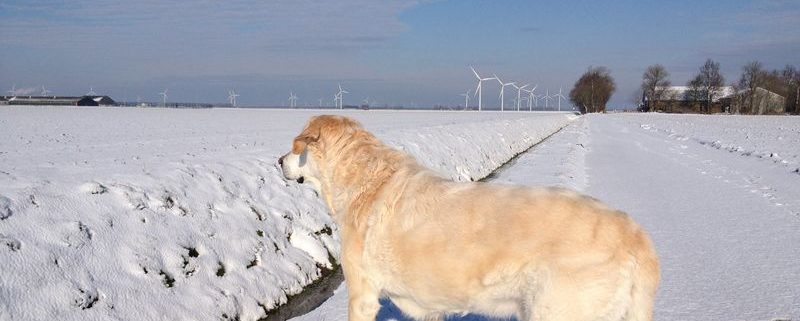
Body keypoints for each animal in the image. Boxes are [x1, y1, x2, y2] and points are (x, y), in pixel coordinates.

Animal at [278, 115, 660, 320]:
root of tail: (636, 234)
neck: (365, 179)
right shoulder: (427, 306)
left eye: (296, 150)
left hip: (559, 310)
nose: (278, 161)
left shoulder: (363, 293)